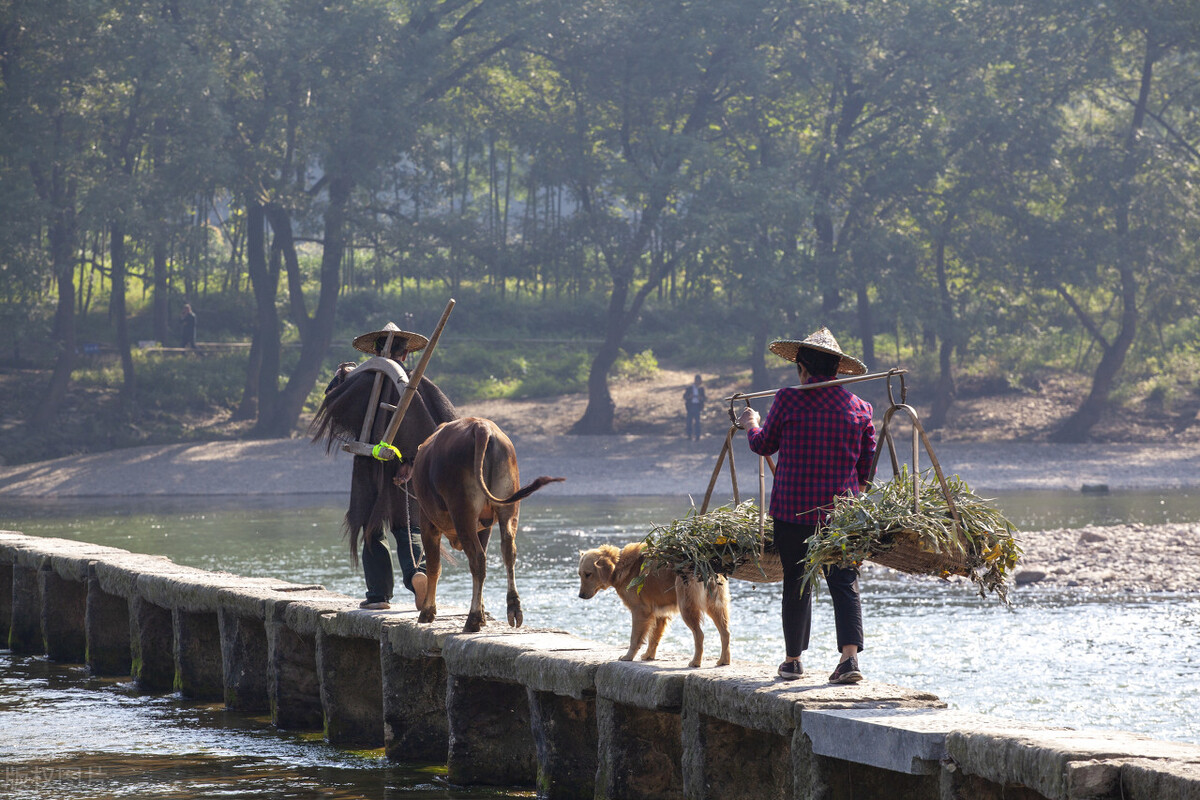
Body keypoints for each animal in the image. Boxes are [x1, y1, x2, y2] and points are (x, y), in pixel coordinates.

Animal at [410, 417, 564, 633]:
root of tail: (480, 427)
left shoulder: (427, 522)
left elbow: (433, 567)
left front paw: (427, 612)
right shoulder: (485, 526)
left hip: (463, 513)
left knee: (477, 559)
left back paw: (473, 619)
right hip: (508, 510)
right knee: (507, 552)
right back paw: (513, 608)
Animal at [573, 544, 729, 671]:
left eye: (588, 574)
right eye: (580, 574)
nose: (580, 595)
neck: (620, 565)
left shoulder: (639, 610)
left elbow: (635, 638)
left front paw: (628, 656)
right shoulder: (660, 613)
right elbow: (654, 638)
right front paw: (649, 655)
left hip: (687, 607)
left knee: (699, 635)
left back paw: (696, 662)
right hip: (716, 605)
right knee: (725, 633)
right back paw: (724, 661)